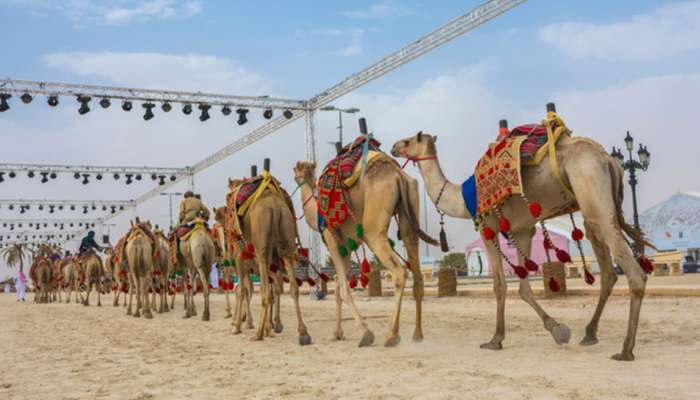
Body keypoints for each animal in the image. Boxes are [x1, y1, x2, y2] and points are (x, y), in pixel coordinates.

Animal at [292, 153, 434, 346]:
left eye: (296, 172)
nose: (298, 178)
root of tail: (397, 175)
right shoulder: (346, 245)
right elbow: (338, 289)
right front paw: (337, 333)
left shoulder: (331, 239)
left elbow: (343, 288)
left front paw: (364, 332)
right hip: (410, 213)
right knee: (417, 274)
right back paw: (417, 335)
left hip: (373, 228)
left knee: (399, 271)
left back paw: (391, 334)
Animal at [392, 124, 652, 360]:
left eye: (408, 140)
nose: (394, 147)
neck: (462, 199)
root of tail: (609, 160)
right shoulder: (523, 229)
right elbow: (524, 289)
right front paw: (557, 329)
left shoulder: (487, 227)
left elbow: (500, 285)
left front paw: (495, 339)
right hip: (592, 208)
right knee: (608, 272)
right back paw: (589, 334)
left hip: (591, 188)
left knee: (634, 272)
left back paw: (626, 349)